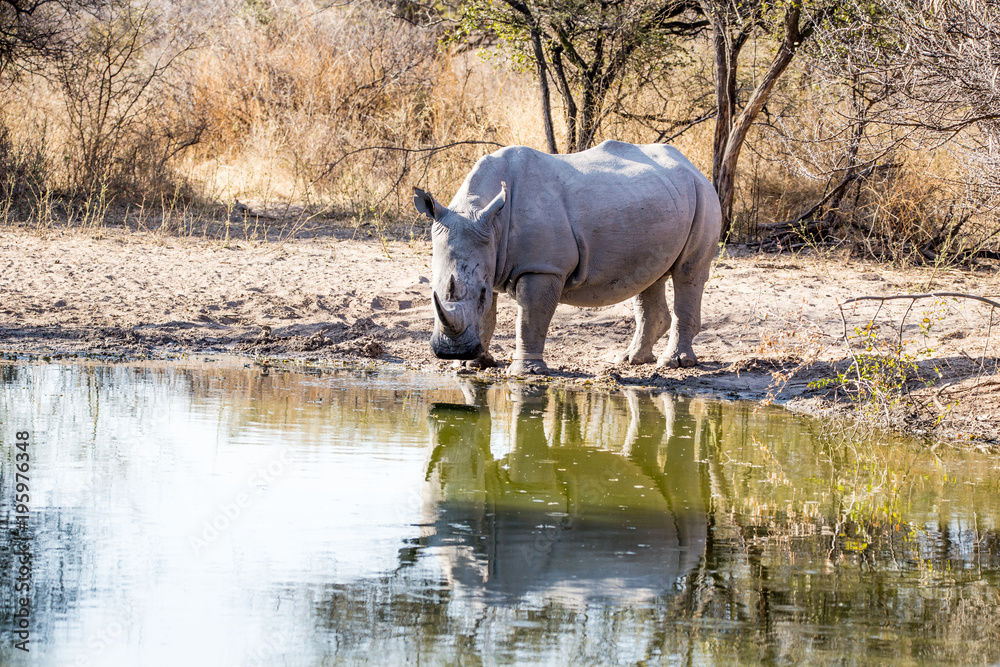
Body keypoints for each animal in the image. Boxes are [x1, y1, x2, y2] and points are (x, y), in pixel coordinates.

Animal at [413, 140, 722, 375]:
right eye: (432, 292)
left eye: (480, 293)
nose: (452, 353)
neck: (483, 214)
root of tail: (692, 166)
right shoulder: (489, 258)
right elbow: (489, 315)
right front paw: (473, 364)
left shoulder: (543, 268)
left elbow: (529, 318)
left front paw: (526, 372)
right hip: (658, 199)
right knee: (650, 278)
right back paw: (631, 359)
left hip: (704, 196)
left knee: (688, 274)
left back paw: (674, 364)